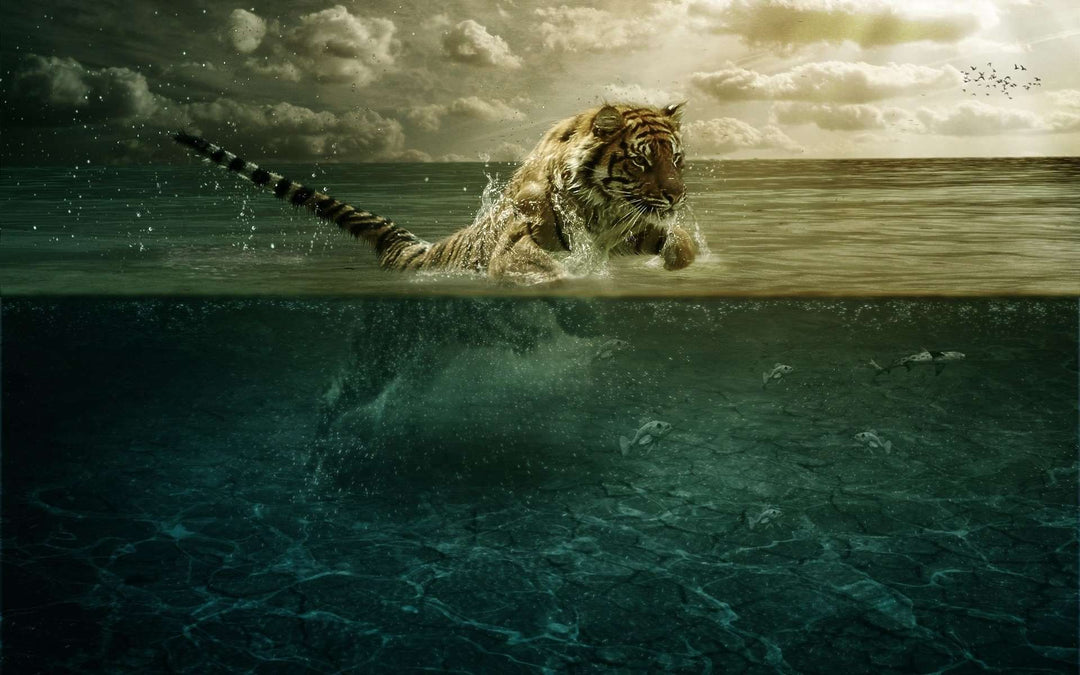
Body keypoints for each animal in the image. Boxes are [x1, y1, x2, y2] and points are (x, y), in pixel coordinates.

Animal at [173, 102, 698, 284]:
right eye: (640, 161)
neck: (602, 211)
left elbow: (679, 244)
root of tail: (412, 249)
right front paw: (567, 280)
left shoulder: (630, 228)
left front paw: (679, 260)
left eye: (676, 159)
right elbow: (539, 266)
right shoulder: (518, 240)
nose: (677, 197)